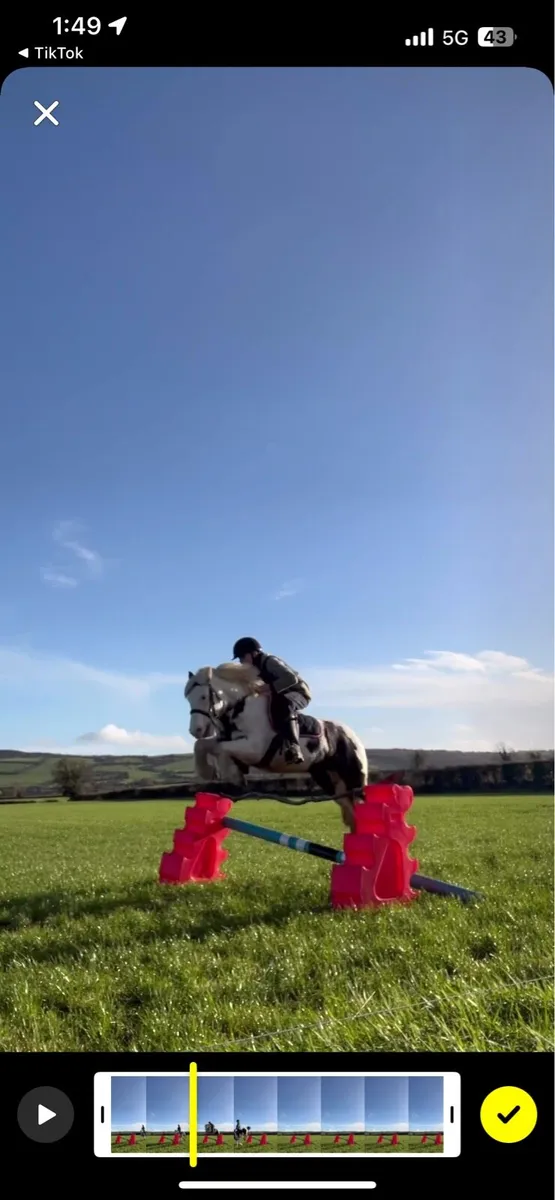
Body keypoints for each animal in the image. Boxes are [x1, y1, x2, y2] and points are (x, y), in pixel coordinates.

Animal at [184, 662, 368, 831]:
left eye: (203, 697)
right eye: (188, 699)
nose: (196, 730)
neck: (240, 708)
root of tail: (353, 737)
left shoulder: (255, 749)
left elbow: (222, 749)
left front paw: (233, 775)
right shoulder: (226, 740)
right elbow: (202, 745)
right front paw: (208, 771)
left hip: (354, 778)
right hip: (328, 780)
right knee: (349, 809)